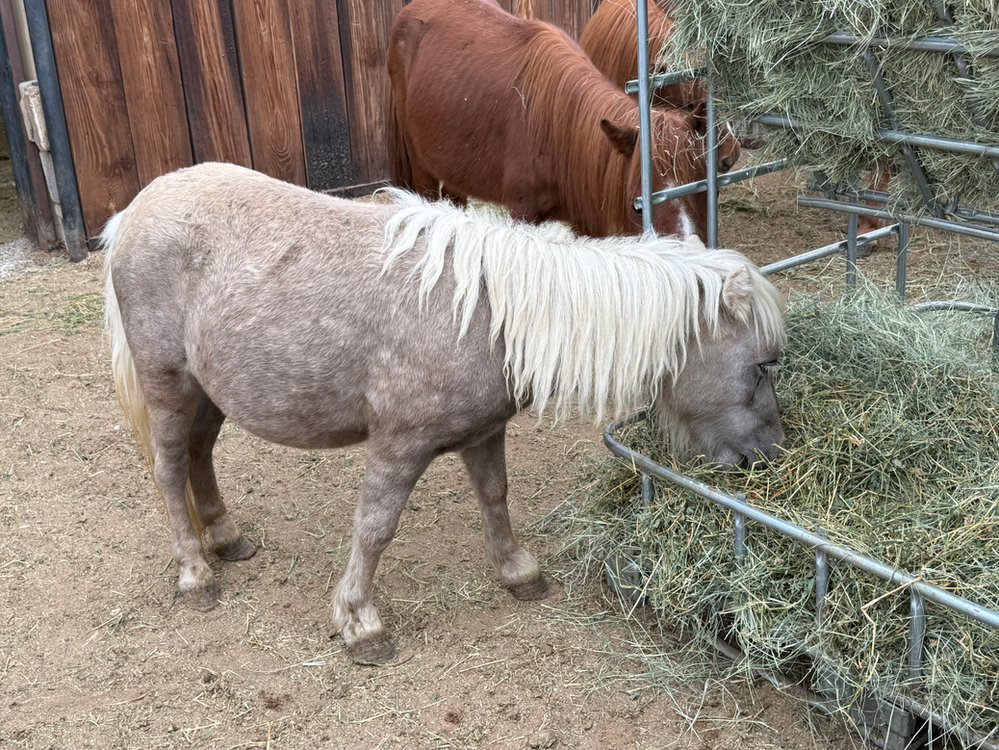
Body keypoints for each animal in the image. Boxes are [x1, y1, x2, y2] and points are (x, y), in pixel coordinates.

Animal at [103, 162, 786, 665]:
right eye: (762, 366)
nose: (769, 456)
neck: (488, 314)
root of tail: (133, 213)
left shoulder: (484, 433)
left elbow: (495, 497)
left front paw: (518, 572)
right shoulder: (398, 445)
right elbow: (374, 528)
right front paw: (360, 623)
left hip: (209, 392)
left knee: (199, 457)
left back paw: (226, 538)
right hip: (169, 385)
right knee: (169, 470)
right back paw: (196, 574)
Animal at [387, 0, 711, 240]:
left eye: (697, 188)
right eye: (638, 207)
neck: (558, 130)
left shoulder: (586, 222)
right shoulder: (522, 213)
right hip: (423, 169)